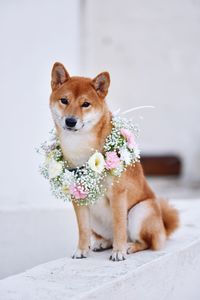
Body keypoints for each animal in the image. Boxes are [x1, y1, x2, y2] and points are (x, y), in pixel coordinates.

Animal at [49, 62, 179, 262]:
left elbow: (119, 227)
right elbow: (83, 229)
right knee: (106, 237)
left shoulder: (118, 194)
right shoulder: (79, 197)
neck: (81, 148)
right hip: (96, 220)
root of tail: (163, 227)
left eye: (85, 104)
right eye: (64, 100)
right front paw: (81, 250)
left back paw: (129, 246)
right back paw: (102, 243)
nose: (70, 121)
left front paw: (119, 252)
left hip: (139, 212)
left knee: (146, 242)